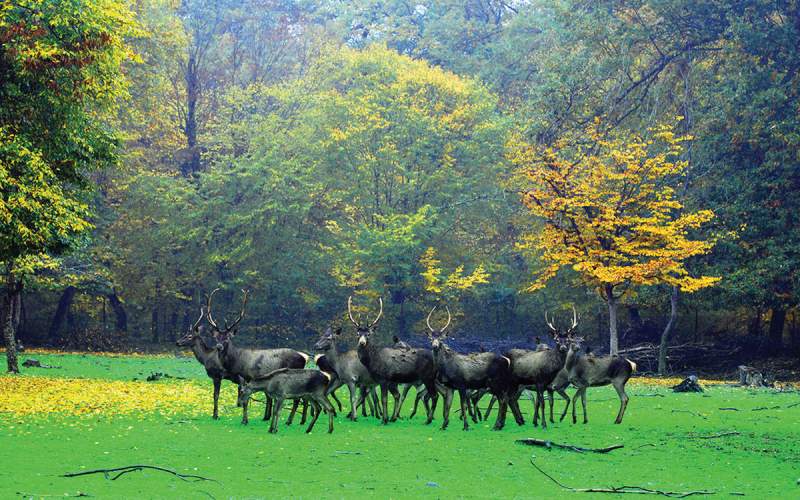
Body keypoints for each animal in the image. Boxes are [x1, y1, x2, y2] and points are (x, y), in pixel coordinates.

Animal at [348, 296, 440, 426]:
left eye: (368, 334)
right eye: (358, 333)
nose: (362, 342)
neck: (373, 361)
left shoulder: (384, 379)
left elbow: (384, 399)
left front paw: (384, 420)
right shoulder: (388, 381)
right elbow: (393, 396)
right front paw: (390, 418)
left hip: (428, 377)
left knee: (434, 396)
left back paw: (428, 420)